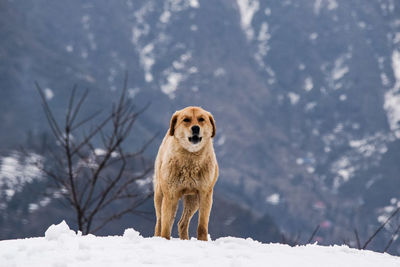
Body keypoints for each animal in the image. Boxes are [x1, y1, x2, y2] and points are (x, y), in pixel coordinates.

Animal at [154, 107, 219, 243]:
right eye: (186, 120)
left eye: (201, 119)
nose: (195, 128)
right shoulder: (170, 195)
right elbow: (165, 226)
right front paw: (165, 240)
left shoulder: (205, 194)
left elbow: (202, 226)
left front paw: (203, 242)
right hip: (160, 195)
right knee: (160, 221)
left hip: (193, 201)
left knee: (182, 223)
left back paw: (185, 240)